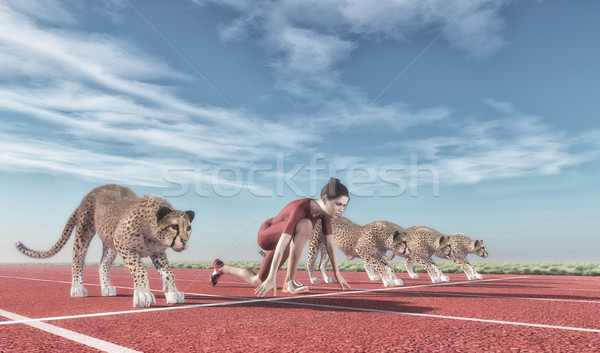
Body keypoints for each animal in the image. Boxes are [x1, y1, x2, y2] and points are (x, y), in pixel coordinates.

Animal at [15, 183, 195, 306]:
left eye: (188, 228)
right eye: (174, 227)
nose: (184, 241)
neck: (153, 233)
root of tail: (93, 190)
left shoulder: (157, 252)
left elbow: (169, 273)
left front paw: (173, 293)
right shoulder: (123, 244)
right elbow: (140, 270)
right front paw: (143, 295)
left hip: (109, 245)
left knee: (103, 265)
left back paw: (107, 287)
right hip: (84, 234)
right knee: (77, 262)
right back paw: (77, 288)